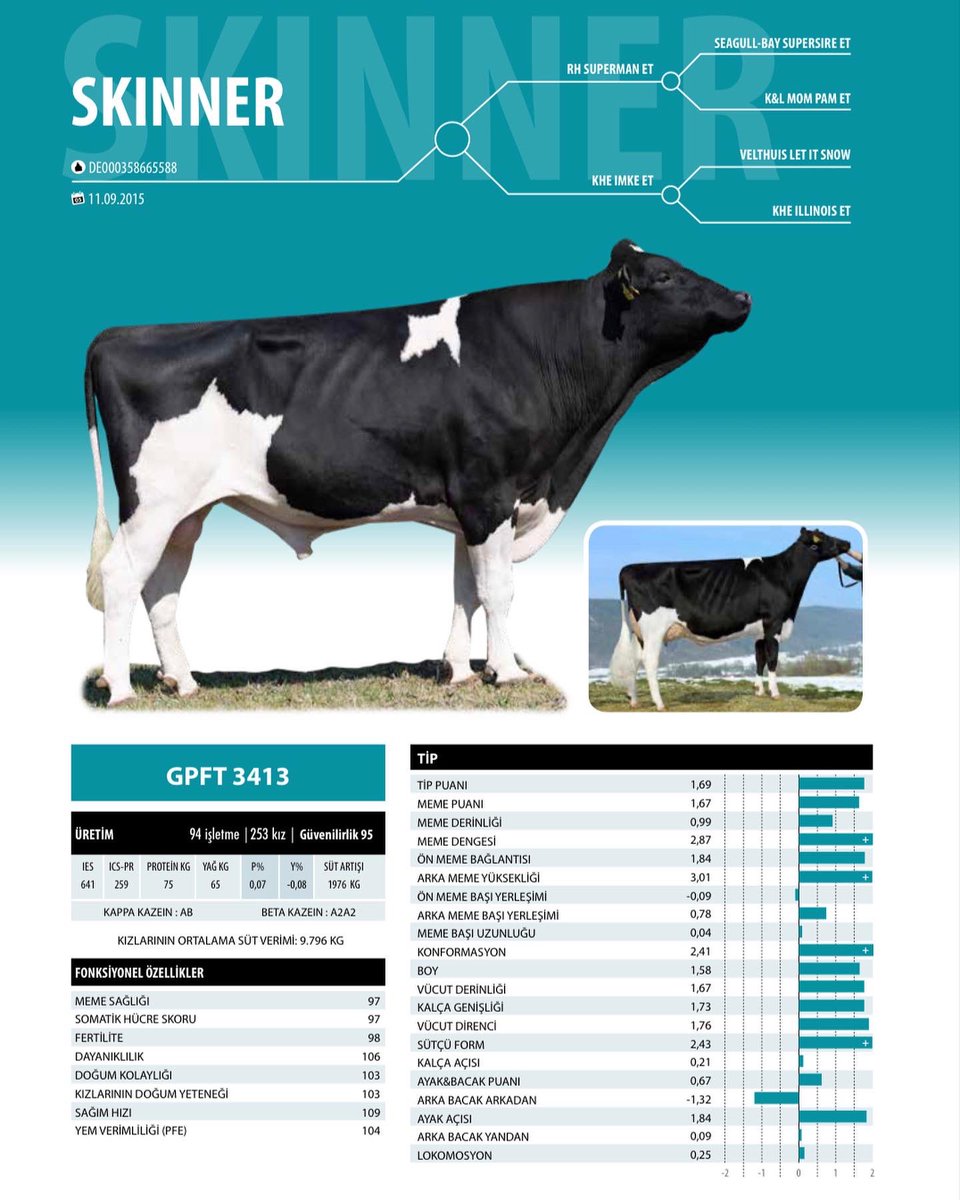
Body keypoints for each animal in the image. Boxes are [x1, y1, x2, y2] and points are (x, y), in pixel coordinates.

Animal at [84, 240, 750, 705]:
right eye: (666, 276)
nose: (743, 296)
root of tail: (115, 334)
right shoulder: (489, 492)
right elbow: (498, 589)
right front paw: (507, 673)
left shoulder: (471, 505)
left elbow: (465, 590)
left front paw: (460, 672)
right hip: (154, 504)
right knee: (120, 576)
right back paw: (121, 690)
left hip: (186, 512)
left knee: (161, 588)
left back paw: (184, 682)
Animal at [609, 528, 853, 710]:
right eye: (825, 537)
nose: (848, 542)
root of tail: (629, 568)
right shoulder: (773, 622)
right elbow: (773, 659)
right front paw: (775, 693)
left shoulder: (759, 630)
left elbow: (759, 658)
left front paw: (759, 691)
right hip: (653, 630)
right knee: (649, 662)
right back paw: (659, 703)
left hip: (640, 633)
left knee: (636, 660)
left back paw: (634, 700)